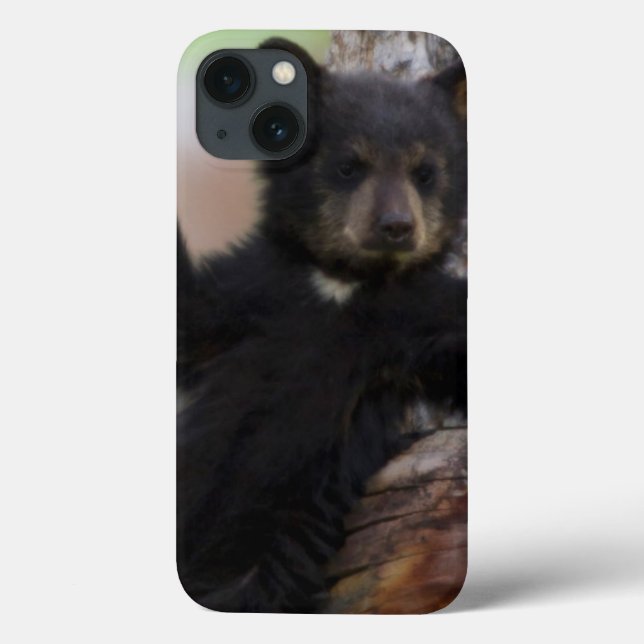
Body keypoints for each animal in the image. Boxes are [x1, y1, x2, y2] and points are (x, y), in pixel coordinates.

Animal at [177, 38, 467, 613]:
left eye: (425, 172)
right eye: (349, 167)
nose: (397, 227)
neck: (342, 282)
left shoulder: (419, 316)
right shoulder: (251, 291)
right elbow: (189, 322)